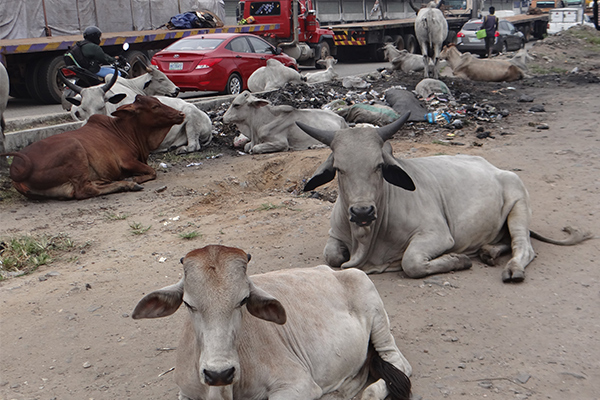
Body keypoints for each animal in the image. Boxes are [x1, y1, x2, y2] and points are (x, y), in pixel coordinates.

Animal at [1, 94, 184, 200]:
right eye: (155, 106)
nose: (180, 114)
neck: (127, 130)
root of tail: (16, 168)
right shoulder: (127, 161)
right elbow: (152, 171)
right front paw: (135, 179)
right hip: (75, 149)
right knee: (85, 191)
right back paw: (128, 184)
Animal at [131, 244, 412, 400]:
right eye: (189, 304)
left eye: (243, 300)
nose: (219, 373)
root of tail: (333, 271)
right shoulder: (185, 392)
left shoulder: (296, 385)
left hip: (376, 313)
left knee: (399, 365)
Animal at [296, 112, 592, 282]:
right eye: (339, 169)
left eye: (379, 166)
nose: (362, 212)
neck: (366, 240)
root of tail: (496, 169)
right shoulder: (335, 236)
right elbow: (332, 257)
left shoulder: (437, 235)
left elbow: (411, 263)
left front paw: (457, 260)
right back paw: (488, 251)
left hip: (519, 205)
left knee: (524, 245)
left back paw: (512, 268)